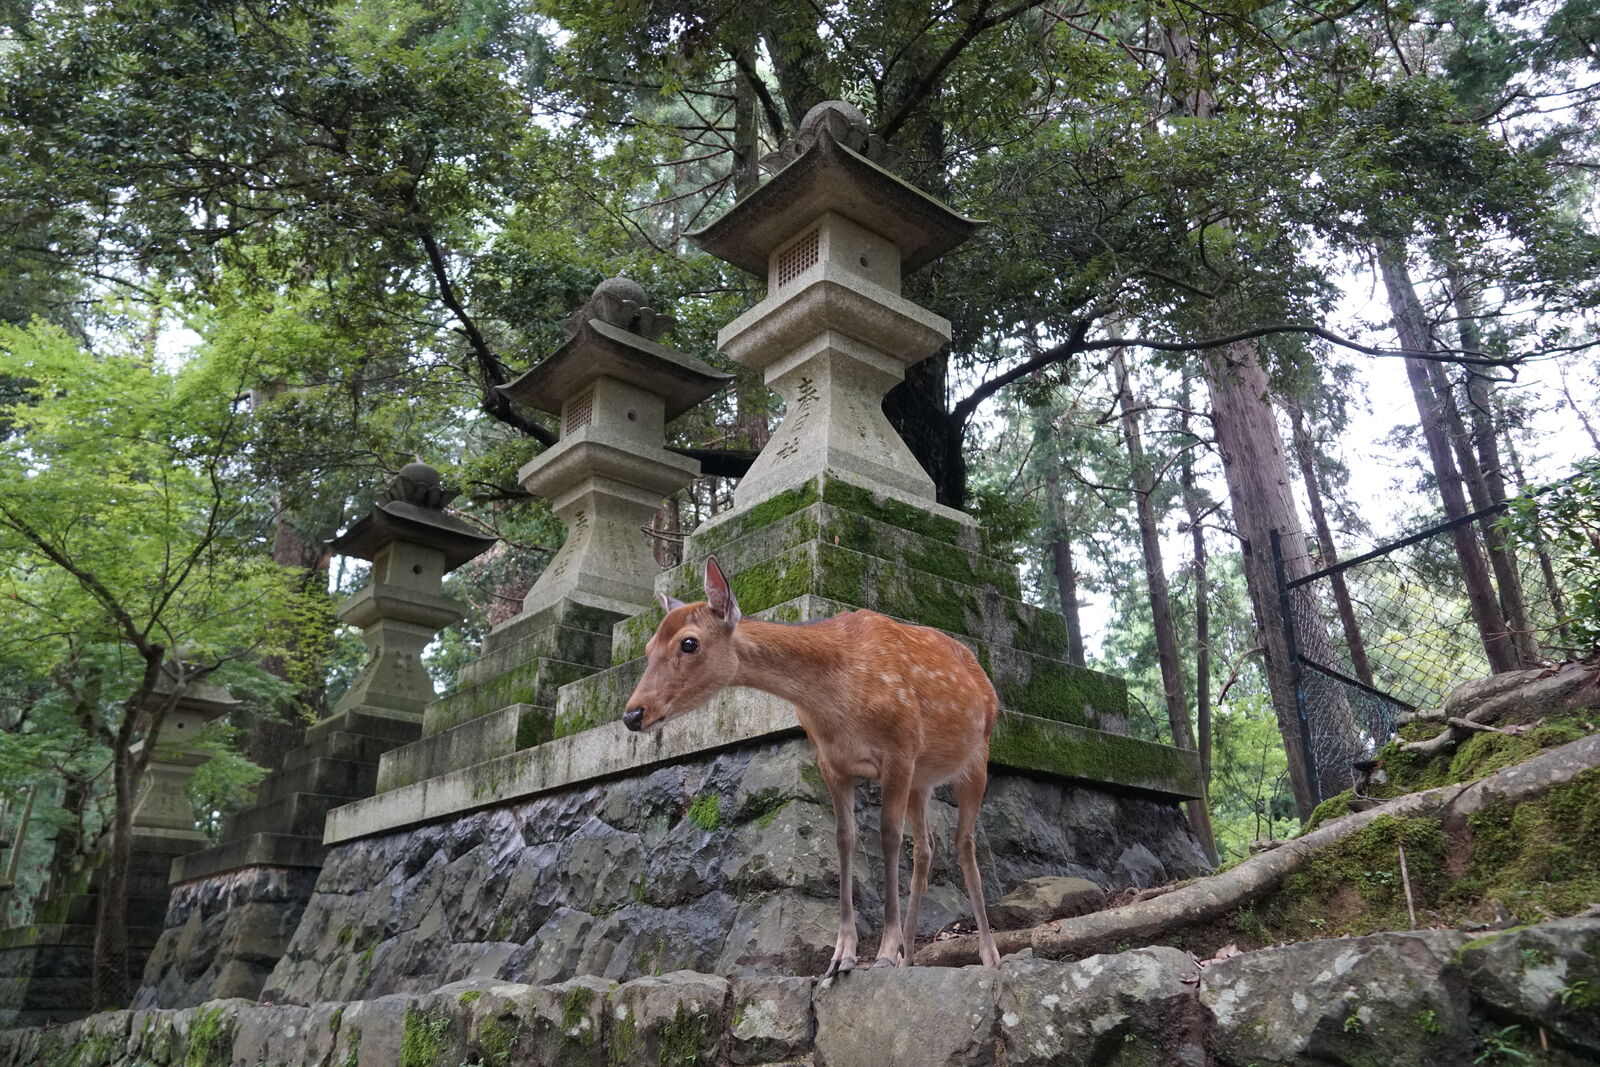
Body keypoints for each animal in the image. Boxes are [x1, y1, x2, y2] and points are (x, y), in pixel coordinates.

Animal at [622, 555, 1002, 976]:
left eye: (689, 642)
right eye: (648, 646)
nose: (632, 714)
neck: (837, 701)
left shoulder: (900, 749)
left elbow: (888, 836)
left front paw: (885, 950)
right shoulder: (830, 762)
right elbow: (843, 838)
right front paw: (842, 957)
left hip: (976, 758)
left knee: (964, 842)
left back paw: (988, 954)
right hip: (923, 781)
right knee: (926, 846)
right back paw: (910, 959)